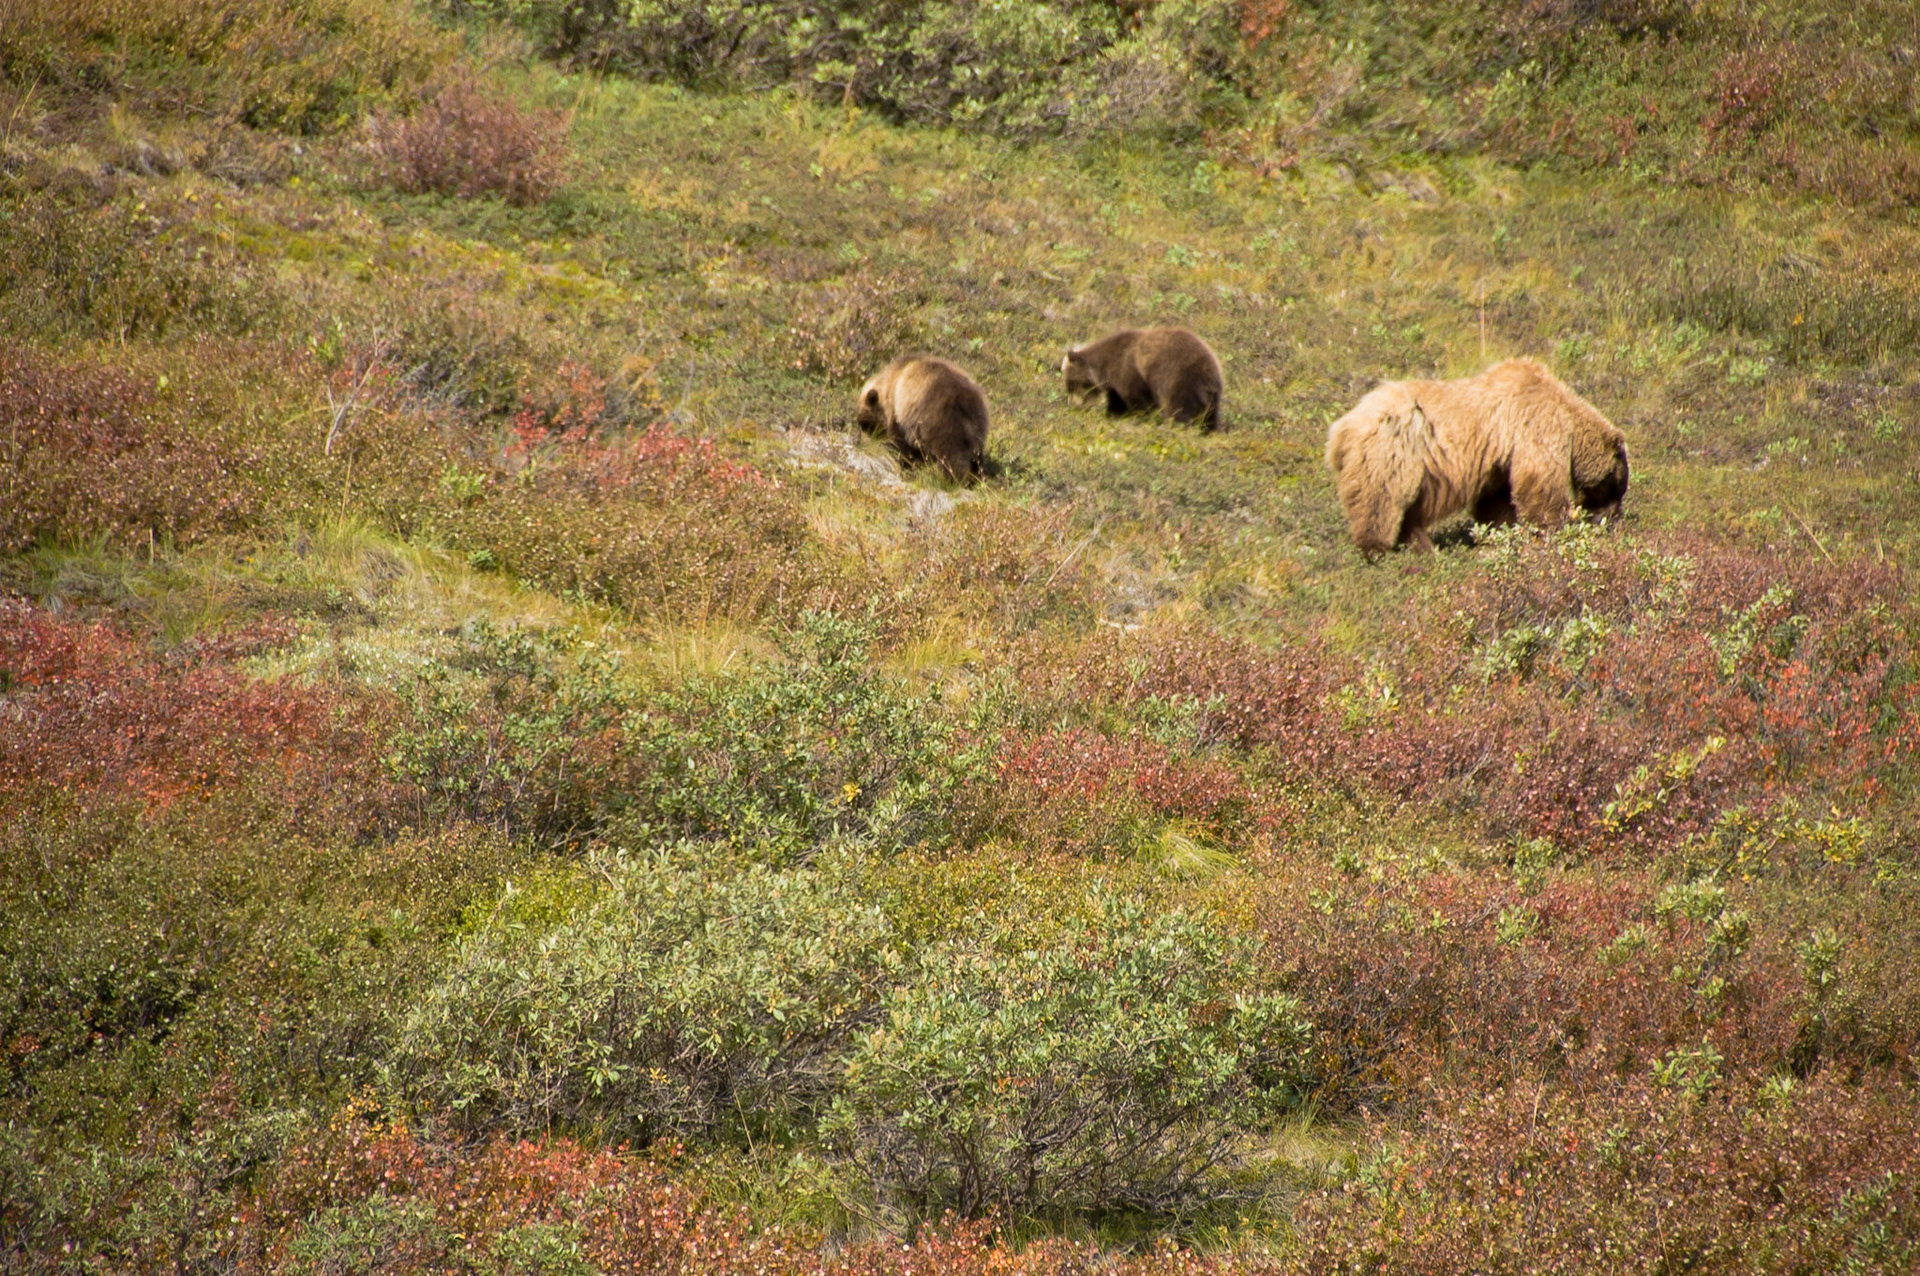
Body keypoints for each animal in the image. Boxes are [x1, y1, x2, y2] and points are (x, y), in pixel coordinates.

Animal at [855, 355, 989, 484]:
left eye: (865, 425)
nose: (864, 440)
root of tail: (965, 400)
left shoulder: (900, 413)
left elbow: (901, 441)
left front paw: (906, 461)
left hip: (941, 421)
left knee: (950, 454)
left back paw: (950, 480)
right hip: (978, 428)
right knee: (977, 458)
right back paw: (977, 478)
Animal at [1062, 326, 1223, 430]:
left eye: (1071, 384)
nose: (1072, 406)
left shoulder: (1130, 370)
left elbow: (1138, 399)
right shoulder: (1116, 385)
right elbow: (1118, 401)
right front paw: (1113, 414)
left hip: (1179, 379)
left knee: (1178, 406)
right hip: (1211, 396)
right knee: (1210, 416)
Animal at [1325, 357, 1629, 558]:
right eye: (1618, 485)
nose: (1613, 518)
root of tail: (1340, 429)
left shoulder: (1501, 460)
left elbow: (1496, 499)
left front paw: (1499, 529)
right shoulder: (1535, 424)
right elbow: (1540, 484)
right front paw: (1553, 527)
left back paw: (1422, 546)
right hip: (1391, 451)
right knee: (1381, 500)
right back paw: (1377, 548)